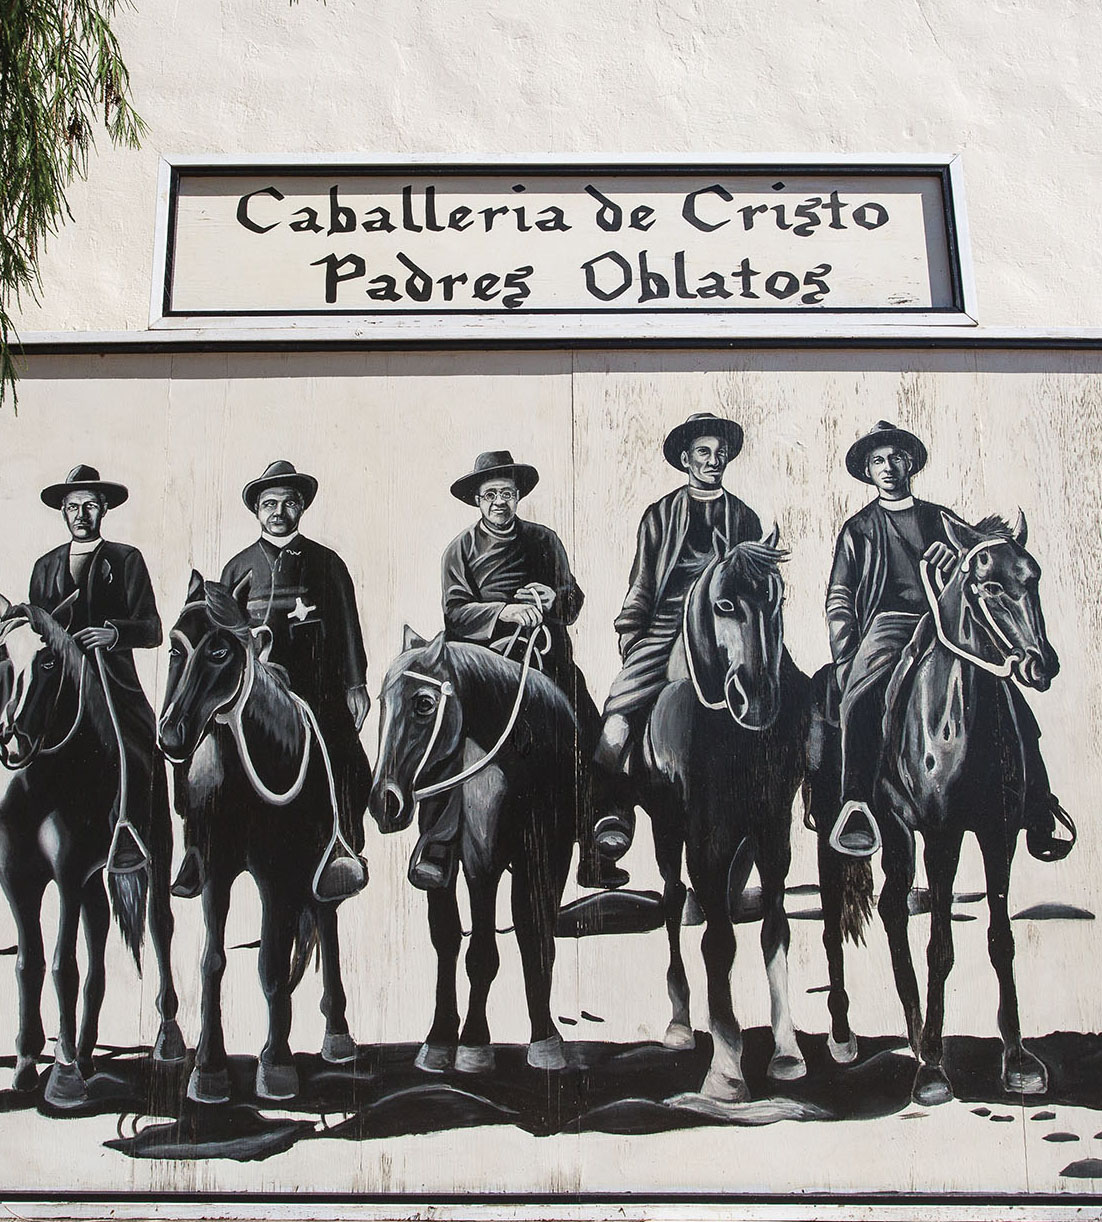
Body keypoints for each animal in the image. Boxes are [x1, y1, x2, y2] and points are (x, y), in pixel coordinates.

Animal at [0, 591, 183, 1109]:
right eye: (2, 655)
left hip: (155, 851)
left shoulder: (65, 875)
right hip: (91, 880)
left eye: (46, 661)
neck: (44, 779)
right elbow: (30, 964)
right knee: (98, 943)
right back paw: (83, 1053)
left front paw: (61, 1076)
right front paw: (26, 1064)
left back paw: (165, 1038)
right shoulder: (18, 878)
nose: (12, 739)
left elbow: (63, 965)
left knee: (159, 926)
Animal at [157, 574, 359, 1109]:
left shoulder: (278, 876)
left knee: (326, 917)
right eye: (175, 646)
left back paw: (337, 1034)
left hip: (317, 868)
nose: (171, 737)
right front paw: (208, 1069)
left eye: (220, 649)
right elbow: (212, 961)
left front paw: (277, 1065)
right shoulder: (216, 872)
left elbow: (271, 964)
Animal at [371, 630, 579, 1070]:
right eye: (382, 702)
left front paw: (542, 1039)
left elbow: (534, 936)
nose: (384, 802)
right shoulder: (474, 862)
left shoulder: (543, 856)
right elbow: (462, 944)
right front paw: (457, 1041)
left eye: (424, 703)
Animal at [640, 530, 811, 1104]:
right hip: (667, 830)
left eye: (778, 599)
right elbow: (717, 942)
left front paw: (787, 1053)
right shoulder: (704, 837)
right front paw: (726, 1069)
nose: (756, 699)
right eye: (724, 605)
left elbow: (774, 930)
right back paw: (678, 1022)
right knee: (674, 902)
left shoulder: (771, 827)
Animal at [811, 510, 1060, 1104]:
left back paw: (915, 1030)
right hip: (844, 835)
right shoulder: (942, 836)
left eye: (1033, 577)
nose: (1041, 666)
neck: (957, 716)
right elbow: (941, 947)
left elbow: (1000, 939)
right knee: (841, 921)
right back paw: (850, 1037)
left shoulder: (999, 835)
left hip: (900, 839)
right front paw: (932, 1070)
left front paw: (1018, 1060)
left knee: (894, 908)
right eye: (988, 586)